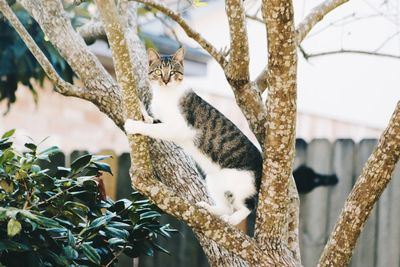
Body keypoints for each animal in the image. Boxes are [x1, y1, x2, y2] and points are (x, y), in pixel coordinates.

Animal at [124, 48, 262, 226]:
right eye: (159, 71)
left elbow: (154, 129)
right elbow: (151, 121)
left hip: (244, 184)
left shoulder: (180, 127)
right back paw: (210, 208)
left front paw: (133, 125)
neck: (165, 94)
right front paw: (143, 112)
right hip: (214, 179)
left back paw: (232, 220)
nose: (166, 80)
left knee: (248, 205)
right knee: (226, 206)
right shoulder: (163, 121)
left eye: (172, 72)